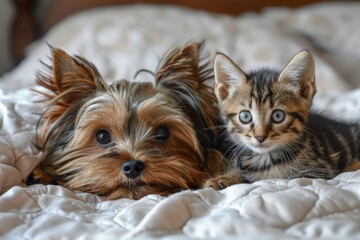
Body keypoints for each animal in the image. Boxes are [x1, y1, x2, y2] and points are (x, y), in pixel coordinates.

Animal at [205, 51, 360, 189]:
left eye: (278, 116)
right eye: (245, 116)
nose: (260, 137)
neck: (265, 159)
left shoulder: (318, 171)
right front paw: (223, 178)